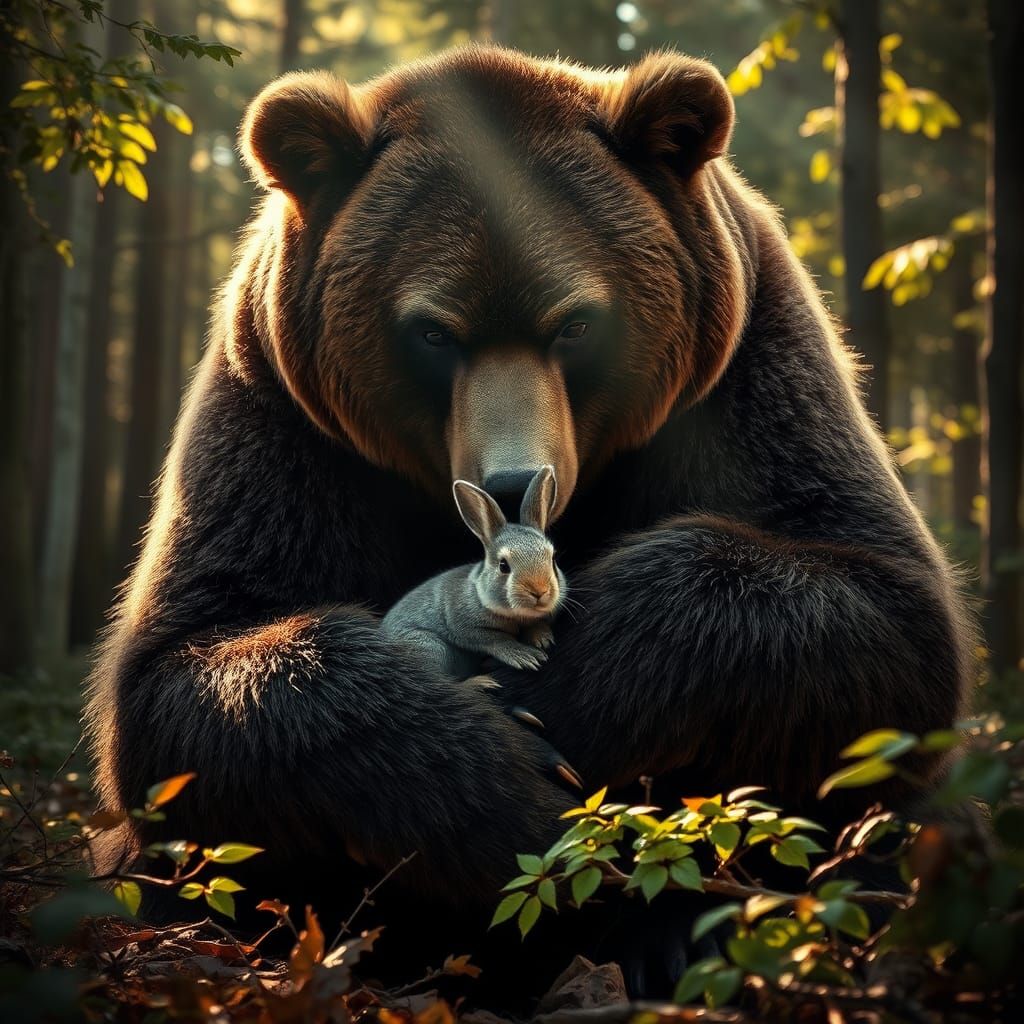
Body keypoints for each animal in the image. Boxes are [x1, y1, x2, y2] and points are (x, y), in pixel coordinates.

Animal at [380, 465, 567, 678]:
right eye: (503, 565)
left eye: (553, 558)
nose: (539, 591)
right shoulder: (462, 624)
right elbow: (495, 639)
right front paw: (526, 656)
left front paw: (542, 639)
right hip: (429, 648)